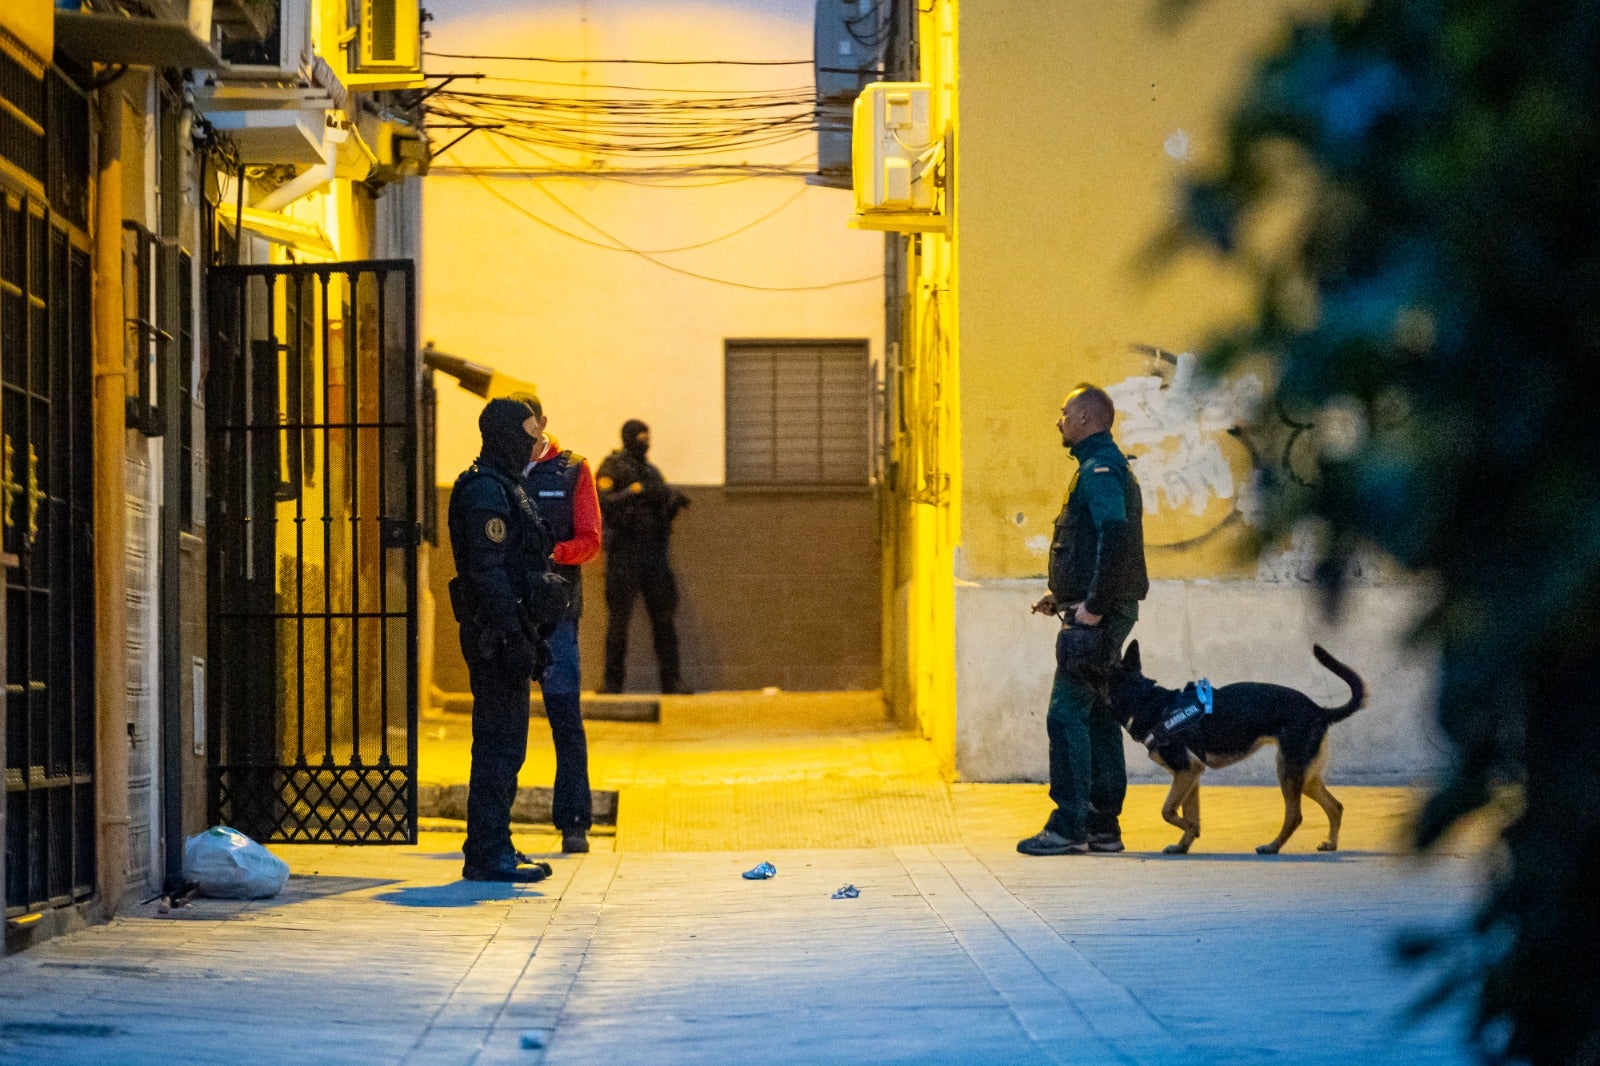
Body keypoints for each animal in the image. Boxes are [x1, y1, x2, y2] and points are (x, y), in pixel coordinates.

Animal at [1113, 640, 1363, 857]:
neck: (1145, 702)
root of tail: (1319, 710)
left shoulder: (1186, 771)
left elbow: (1168, 811)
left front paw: (1192, 830)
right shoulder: (1190, 775)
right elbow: (1188, 812)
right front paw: (1183, 844)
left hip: (1288, 770)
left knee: (1295, 816)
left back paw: (1272, 847)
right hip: (1305, 776)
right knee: (1335, 806)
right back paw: (1330, 843)